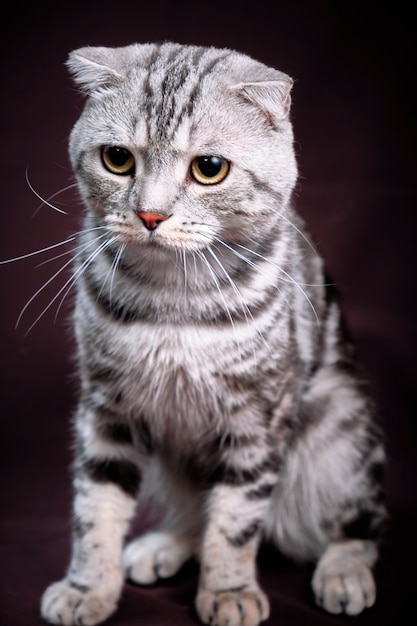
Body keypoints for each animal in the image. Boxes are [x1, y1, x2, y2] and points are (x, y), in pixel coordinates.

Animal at [39, 44, 386, 624]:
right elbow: (95, 508)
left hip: (341, 438)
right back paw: (163, 544)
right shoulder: (107, 408)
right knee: (191, 515)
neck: (172, 298)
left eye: (209, 169)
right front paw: (87, 587)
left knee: (360, 524)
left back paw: (343, 572)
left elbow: (235, 520)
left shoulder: (258, 418)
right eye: (117, 159)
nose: (150, 214)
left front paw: (227, 591)